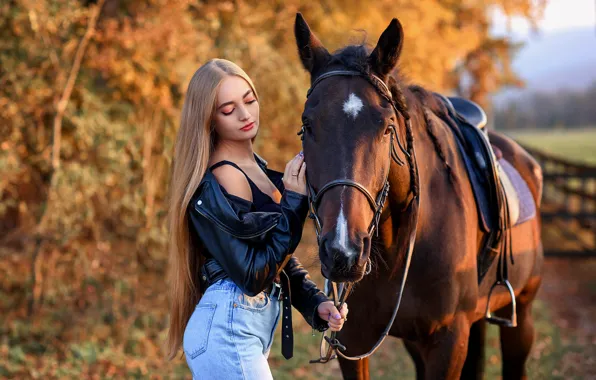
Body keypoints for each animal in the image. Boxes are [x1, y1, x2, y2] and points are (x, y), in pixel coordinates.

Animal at [294, 13, 544, 378]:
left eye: (386, 127)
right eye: (307, 125)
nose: (343, 251)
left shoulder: (448, 341)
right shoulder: (353, 340)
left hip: (520, 314)